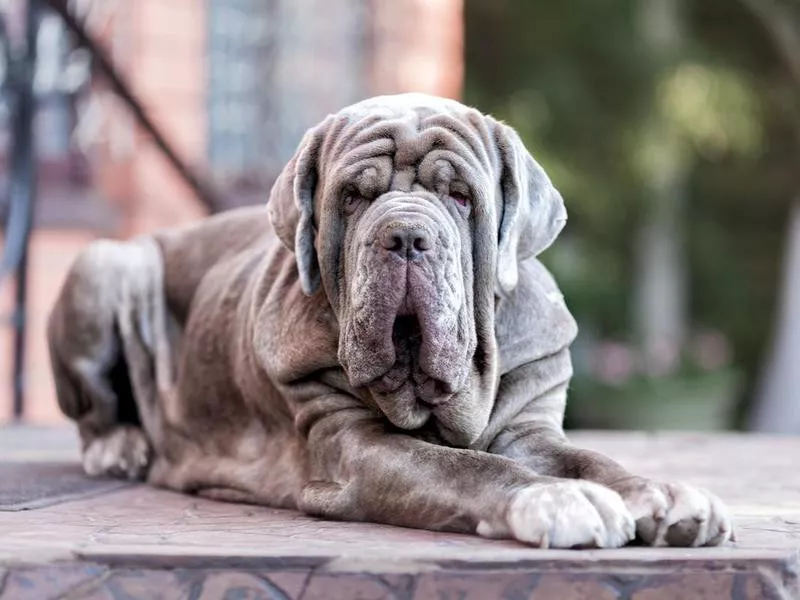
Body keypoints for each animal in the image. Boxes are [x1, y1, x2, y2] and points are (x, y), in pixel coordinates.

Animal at [45, 94, 732, 548]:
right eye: (353, 196)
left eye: (460, 196)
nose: (404, 235)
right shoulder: (353, 446)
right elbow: (464, 467)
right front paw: (555, 497)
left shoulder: (530, 429)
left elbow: (591, 459)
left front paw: (663, 494)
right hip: (108, 265)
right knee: (94, 413)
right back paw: (121, 446)